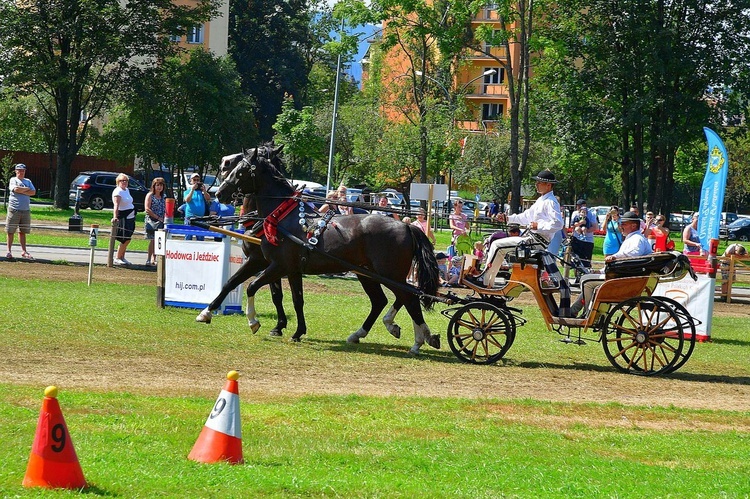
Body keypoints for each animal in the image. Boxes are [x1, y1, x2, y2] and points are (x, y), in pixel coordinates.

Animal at [214, 145, 444, 356]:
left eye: (241, 171)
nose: (219, 193)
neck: (280, 217)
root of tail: (406, 226)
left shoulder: (277, 266)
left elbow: (254, 287)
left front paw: (254, 322)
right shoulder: (288, 268)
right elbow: (293, 298)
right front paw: (296, 331)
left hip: (390, 273)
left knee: (409, 299)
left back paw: (419, 340)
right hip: (368, 274)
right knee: (383, 300)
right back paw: (362, 333)